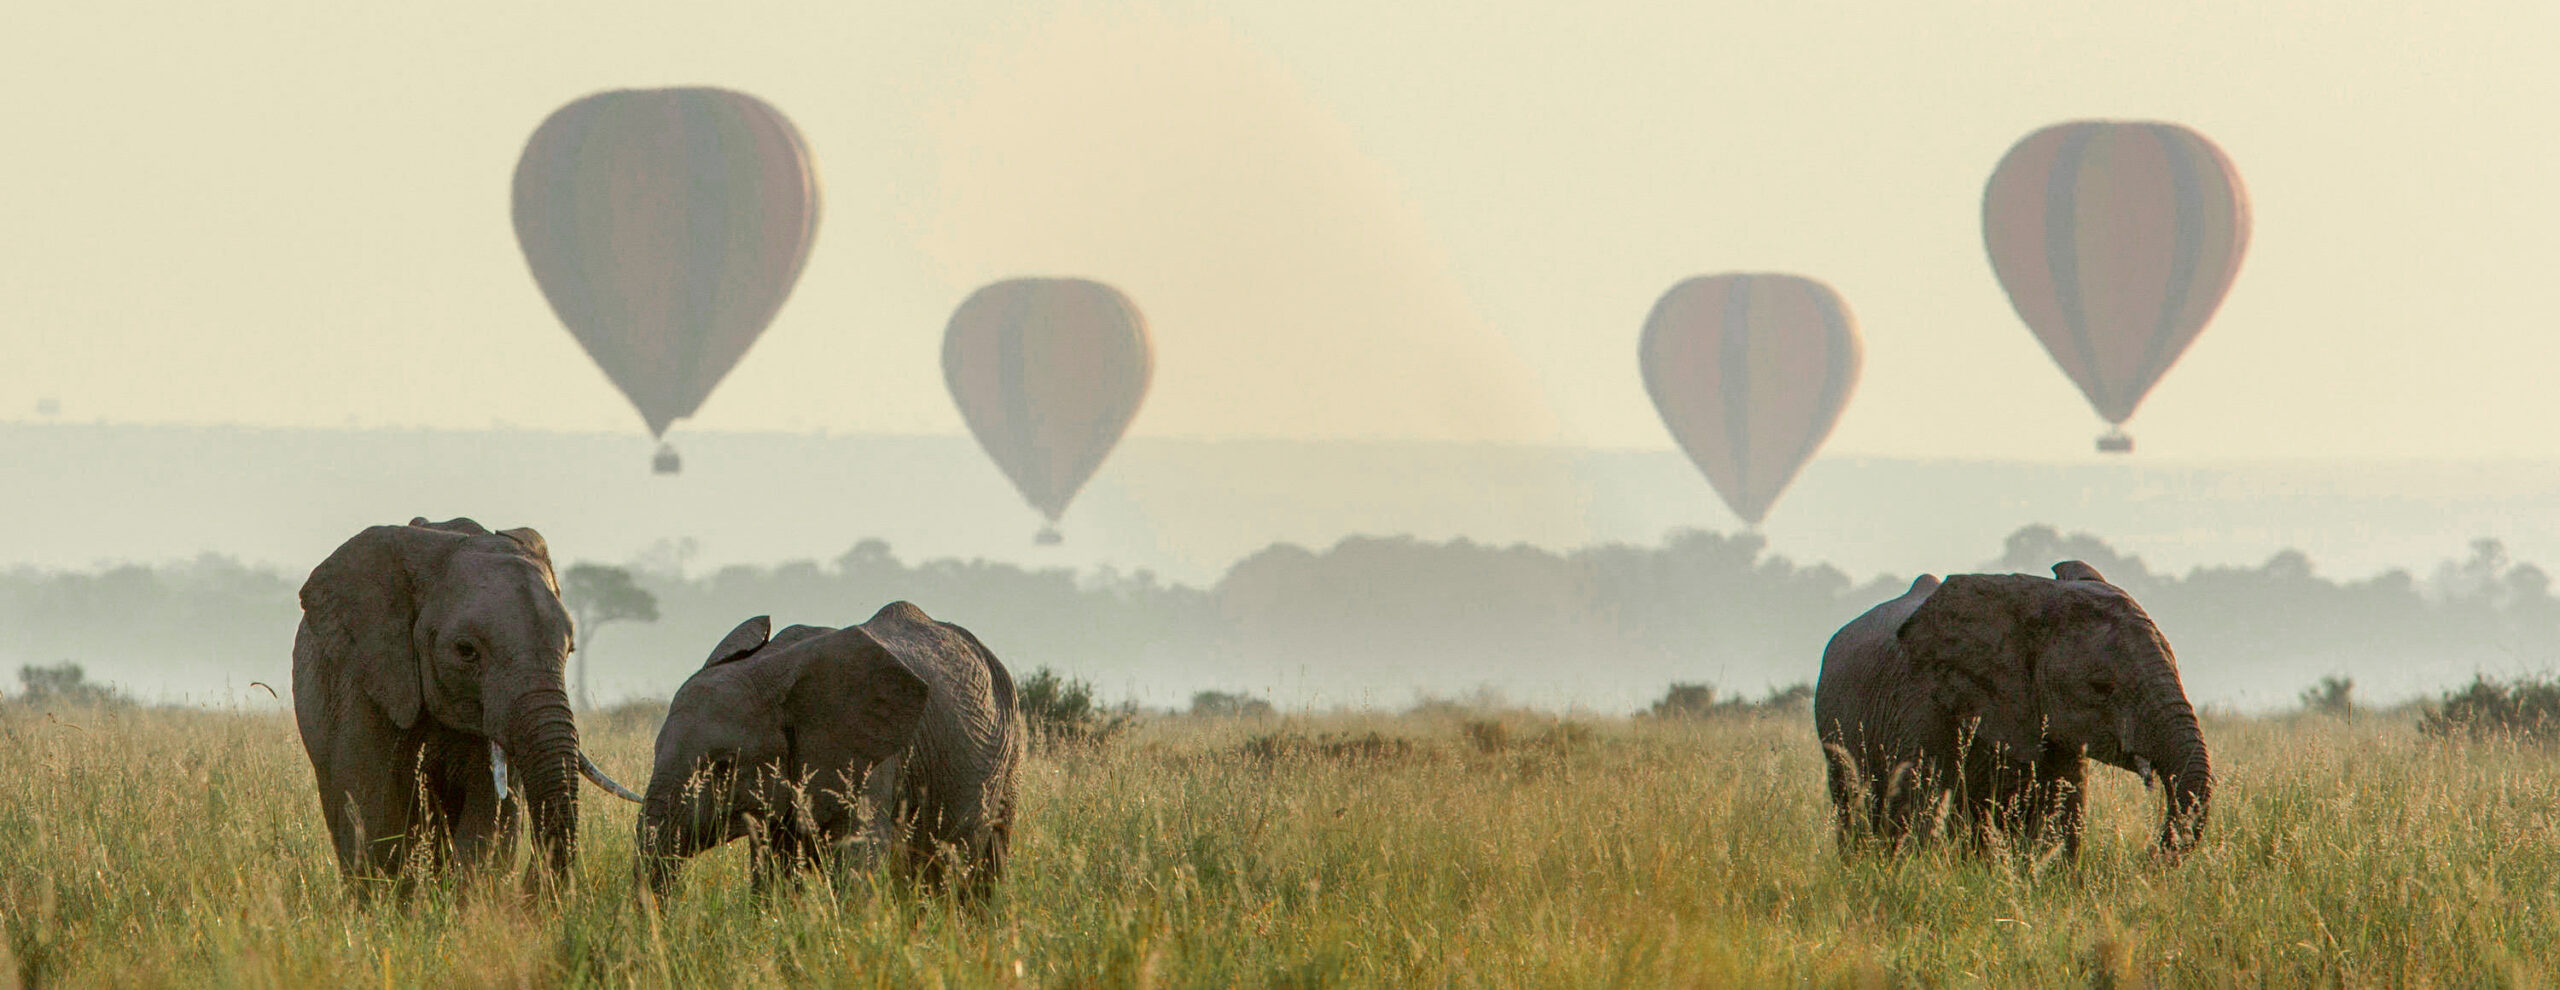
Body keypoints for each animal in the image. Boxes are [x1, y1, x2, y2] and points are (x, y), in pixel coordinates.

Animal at [638, 601, 1023, 902]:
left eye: (724, 766)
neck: (772, 670)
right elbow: (772, 875)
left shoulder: (870, 760)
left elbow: (857, 862)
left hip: (1010, 754)